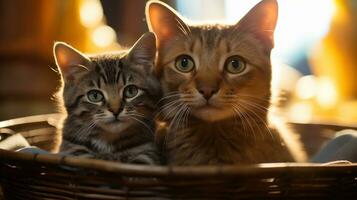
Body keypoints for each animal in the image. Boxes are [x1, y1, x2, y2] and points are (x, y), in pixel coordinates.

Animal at [53, 32, 161, 164]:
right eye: (95, 96)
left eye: (131, 91)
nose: (116, 110)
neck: (109, 141)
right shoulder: (72, 149)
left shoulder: (147, 152)